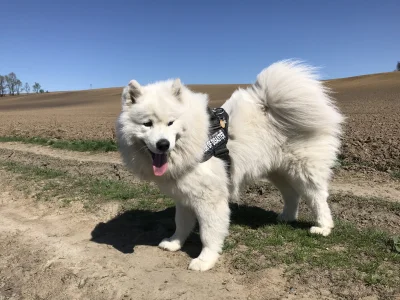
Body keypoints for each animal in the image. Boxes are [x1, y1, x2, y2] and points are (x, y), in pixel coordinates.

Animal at [115, 59, 344, 270]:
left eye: (171, 123)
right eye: (147, 124)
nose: (163, 144)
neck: (199, 140)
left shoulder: (209, 197)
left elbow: (209, 233)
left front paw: (205, 260)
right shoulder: (184, 194)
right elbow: (181, 223)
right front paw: (174, 243)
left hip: (303, 169)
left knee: (317, 197)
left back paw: (323, 227)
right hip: (277, 171)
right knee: (292, 194)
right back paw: (286, 217)